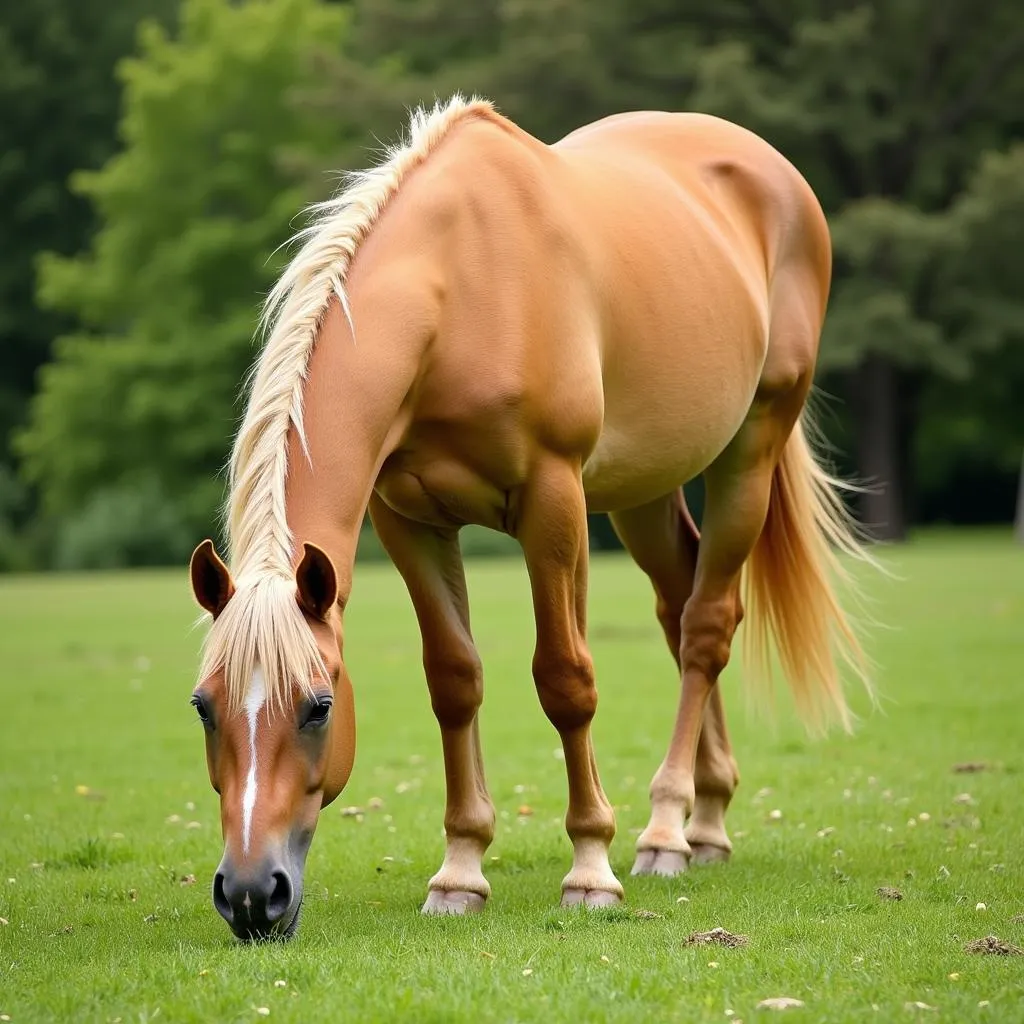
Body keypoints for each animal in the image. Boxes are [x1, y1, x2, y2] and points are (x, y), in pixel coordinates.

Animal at [186, 92, 872, 937]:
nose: (253, 894)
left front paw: (590, 868)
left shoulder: (553, 502)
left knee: (707, 627)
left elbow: (564, 679)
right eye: (204, 707)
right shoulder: (409, 520)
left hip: (750, 450)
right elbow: (454, 679)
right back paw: (705, 821)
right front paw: (459, 872)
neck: (458, 290)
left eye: (318, 708)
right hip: (644, 489)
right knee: (679, 610)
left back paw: (666, 831)